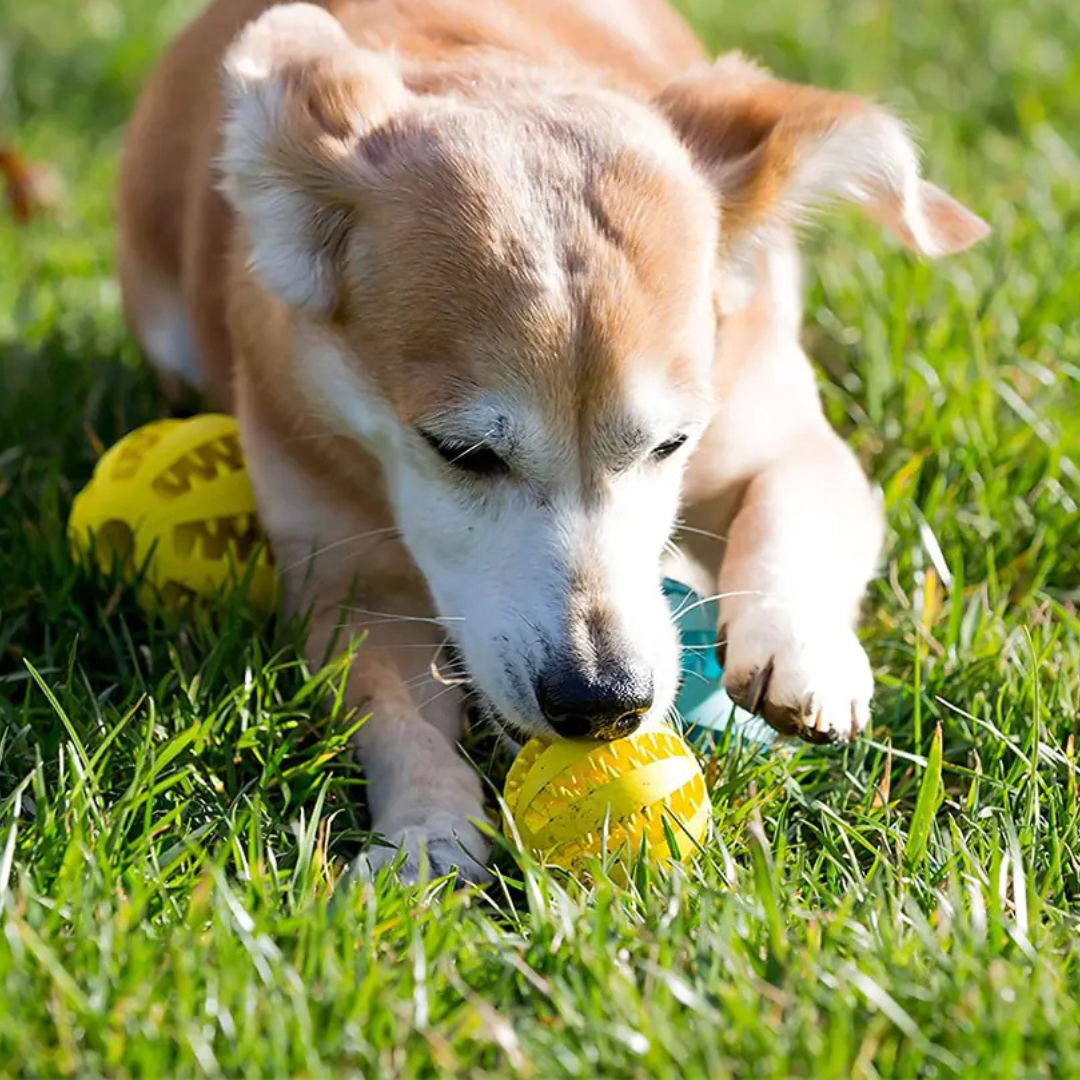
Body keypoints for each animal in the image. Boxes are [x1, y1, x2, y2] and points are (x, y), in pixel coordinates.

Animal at [118, 0, 989, 876]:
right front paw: (425, 833)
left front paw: (799, 647)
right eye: (461, 453)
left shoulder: (782, 433)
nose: (605, 702)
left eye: (672, 445)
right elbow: (393, 714)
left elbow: (794, 505)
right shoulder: (347, 587)